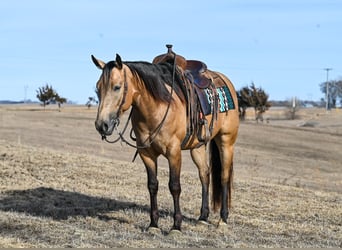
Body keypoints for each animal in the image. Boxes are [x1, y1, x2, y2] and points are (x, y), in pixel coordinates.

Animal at [91, 45, 240, 234]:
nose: (101, 125)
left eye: (117, 87)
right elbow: (152, 185)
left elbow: (174, 186)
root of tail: (226, 82)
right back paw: (203, 217)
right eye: (97, 88)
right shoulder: (146, 153)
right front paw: (154, 224)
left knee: (224, 177)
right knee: (204, 174)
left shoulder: (173, 152)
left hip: (226, 141)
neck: (156, 107)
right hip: (197, 146)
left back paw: (223, 219)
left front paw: (176, 226)